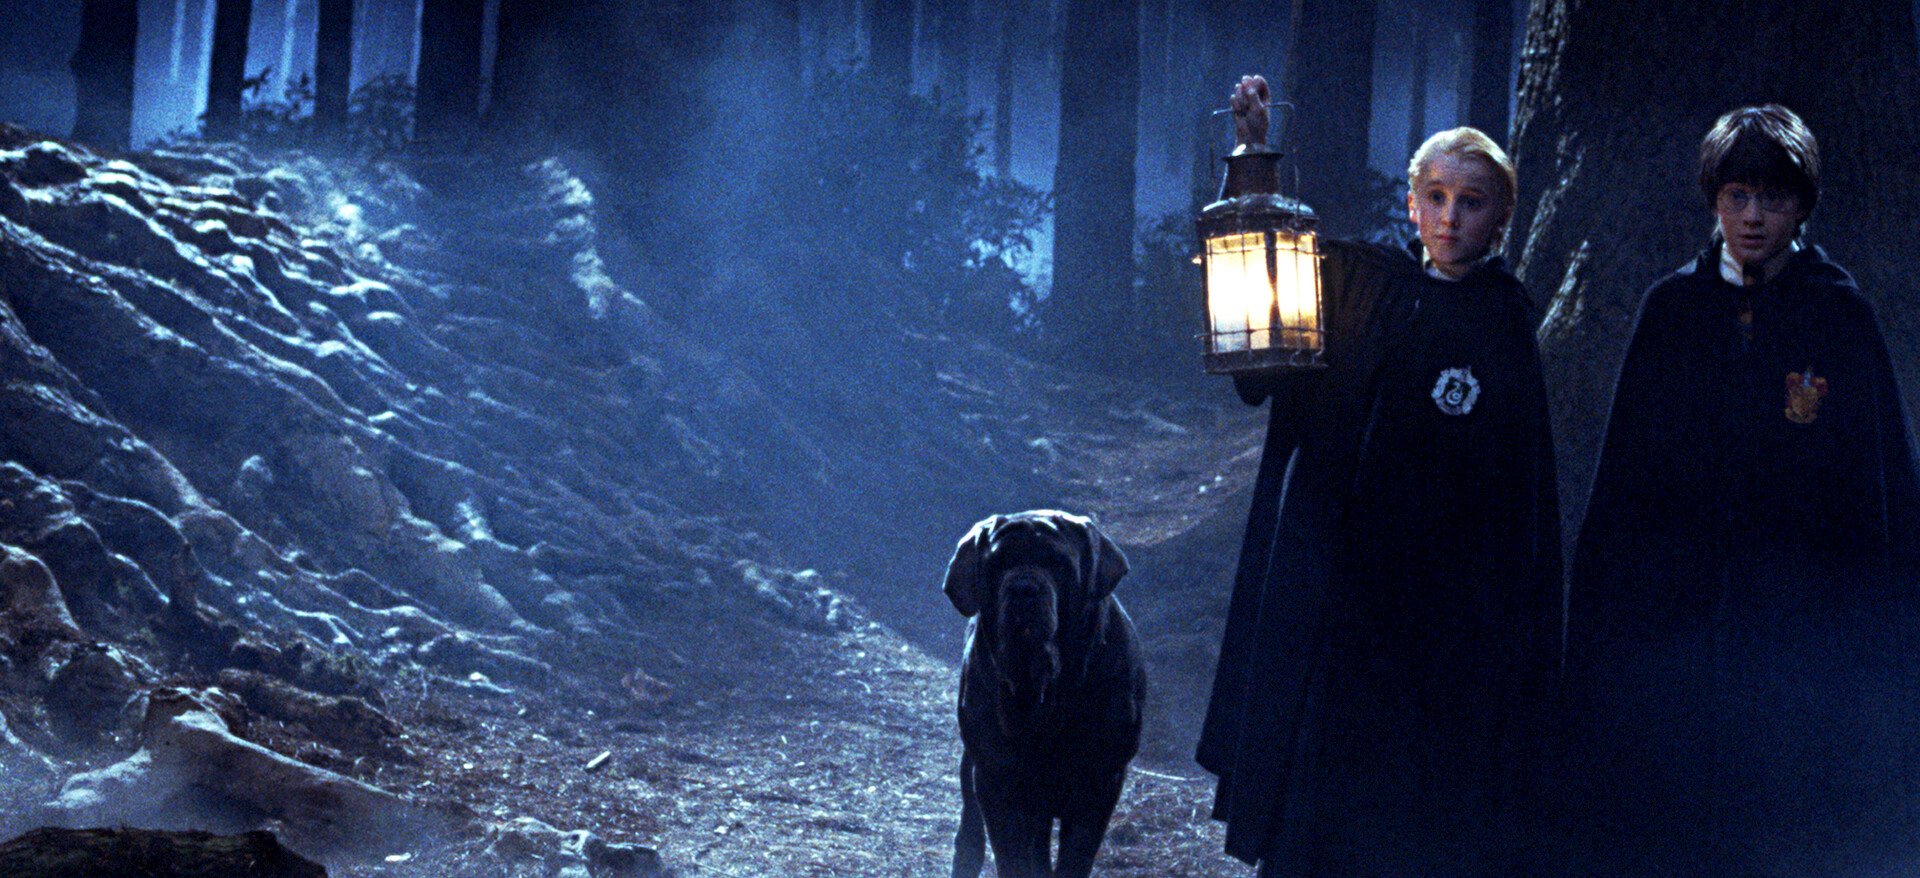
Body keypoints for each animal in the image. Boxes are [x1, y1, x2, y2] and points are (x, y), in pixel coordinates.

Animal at [944, 510, 1145, 878]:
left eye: (1058, 563)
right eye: (998, 564)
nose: (1023, 588)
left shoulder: (1098, 784)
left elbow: (1074, 858)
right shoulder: (996, 779)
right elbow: (1011, 856)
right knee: (971, 834)